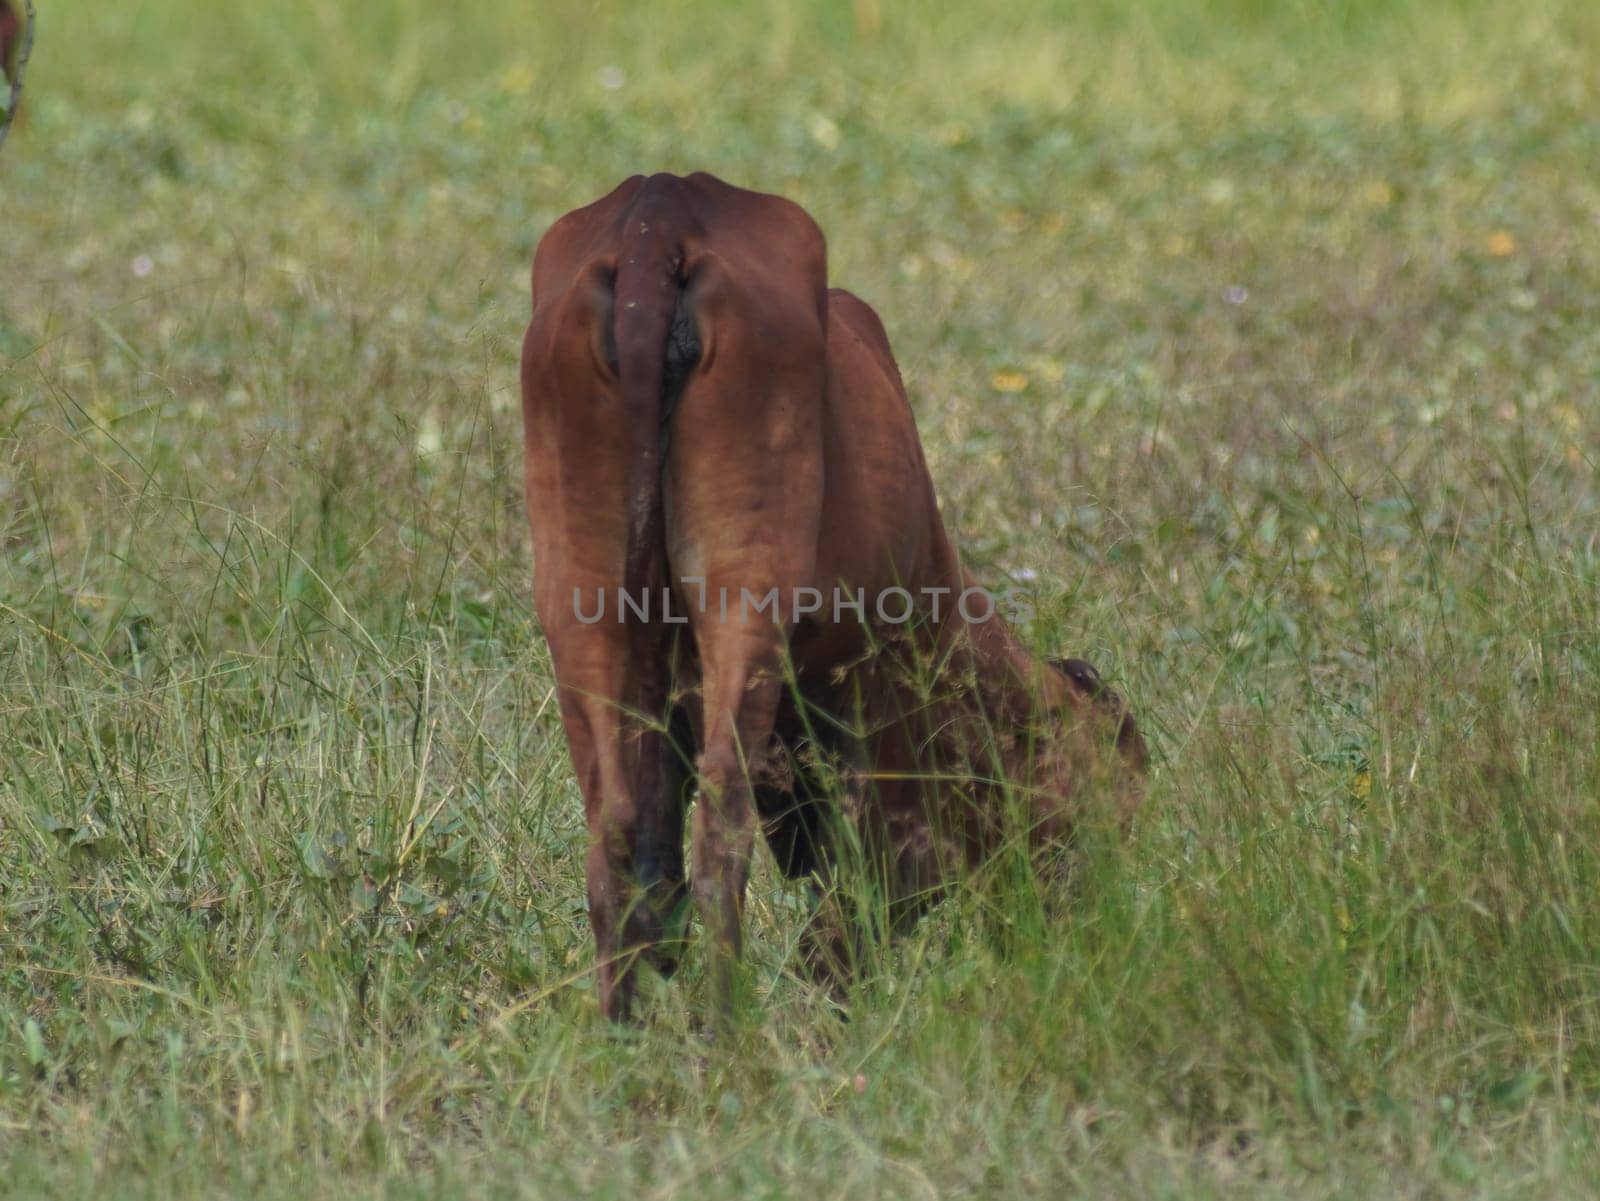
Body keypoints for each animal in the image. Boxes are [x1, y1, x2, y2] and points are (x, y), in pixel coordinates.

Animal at [518, 171, 1145, 1023]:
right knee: (720, 837)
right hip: (745, 605)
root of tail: (660, 209)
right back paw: (730, 1036)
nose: (1079, 942)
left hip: (582, 611)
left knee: (613, 846)